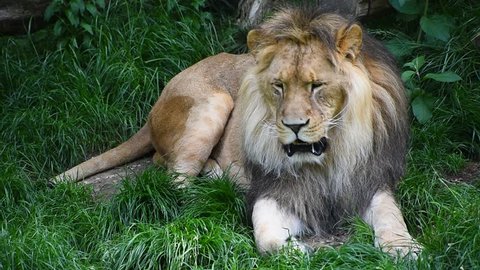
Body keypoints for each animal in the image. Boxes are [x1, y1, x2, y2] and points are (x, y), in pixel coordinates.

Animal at [52, 6, 420, 258]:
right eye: (278, 87)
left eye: (317, 86)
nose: (294, 127)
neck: (327, 157)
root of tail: (159, 100)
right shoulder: (275, 189)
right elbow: (266, 234)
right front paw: (294, 251)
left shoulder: (371, 180)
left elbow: (391, 215)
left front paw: (404, 248)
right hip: (215, 102)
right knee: (175, 181)